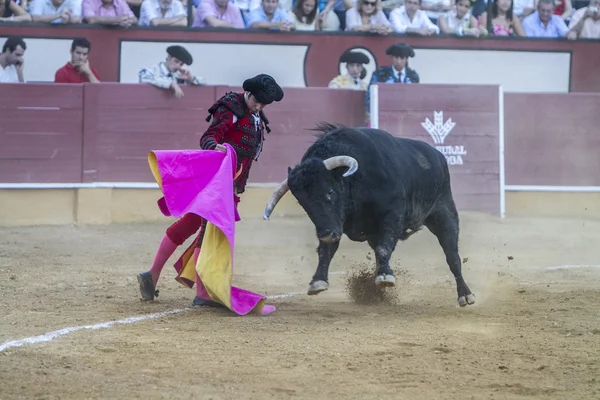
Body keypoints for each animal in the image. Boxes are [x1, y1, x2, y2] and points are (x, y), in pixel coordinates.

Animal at [264, 123, 476, 308]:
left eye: (330, 192)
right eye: (303, 203)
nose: (325, 234)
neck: (356, 181)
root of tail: (438, 155)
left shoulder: (392, 214)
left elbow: (384, 247)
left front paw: (385, 277)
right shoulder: (335, 223)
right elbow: (327, 250)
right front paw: (318, 281)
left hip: (444, 214)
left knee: (452, 257)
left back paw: (465, 295)